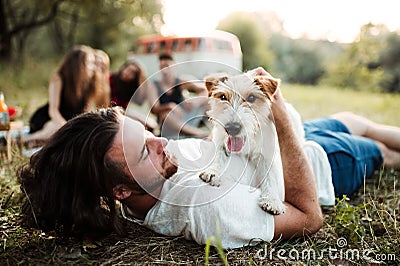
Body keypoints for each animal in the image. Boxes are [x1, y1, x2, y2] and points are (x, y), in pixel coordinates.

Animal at [200, 70, 294, 214]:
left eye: (251, 98)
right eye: (223, 97)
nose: (232, 128)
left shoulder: (267, 154)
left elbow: (270, 176)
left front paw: (272, 199)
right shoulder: (221, 140)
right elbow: (218, 155)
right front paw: (213, 171)